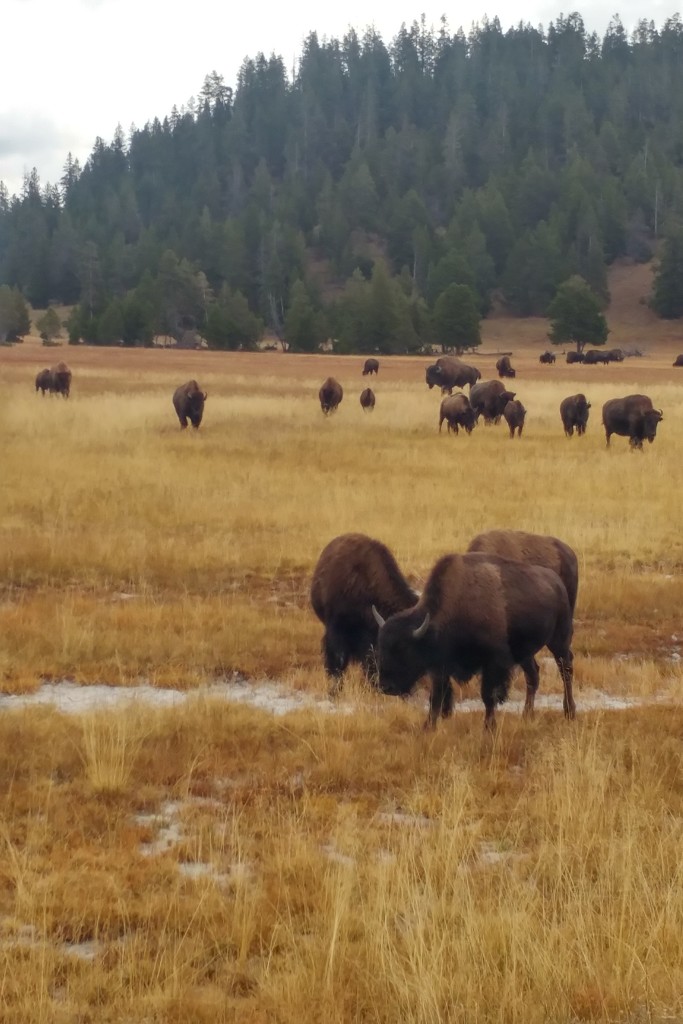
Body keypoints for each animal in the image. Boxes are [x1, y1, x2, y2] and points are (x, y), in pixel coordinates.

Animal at [372, 552, 575, 731]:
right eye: (382, 648)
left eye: (403, 649)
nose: (386, 686)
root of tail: (557, 582)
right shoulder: (439, 668)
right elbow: (436, 697)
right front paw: (428, 727)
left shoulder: (492, 663)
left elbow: (487, 695)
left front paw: (489, 727)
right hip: (525, 653)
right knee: (533, 675)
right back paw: (527, 714)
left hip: (559, 640)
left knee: (565, 669)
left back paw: (569, 712)